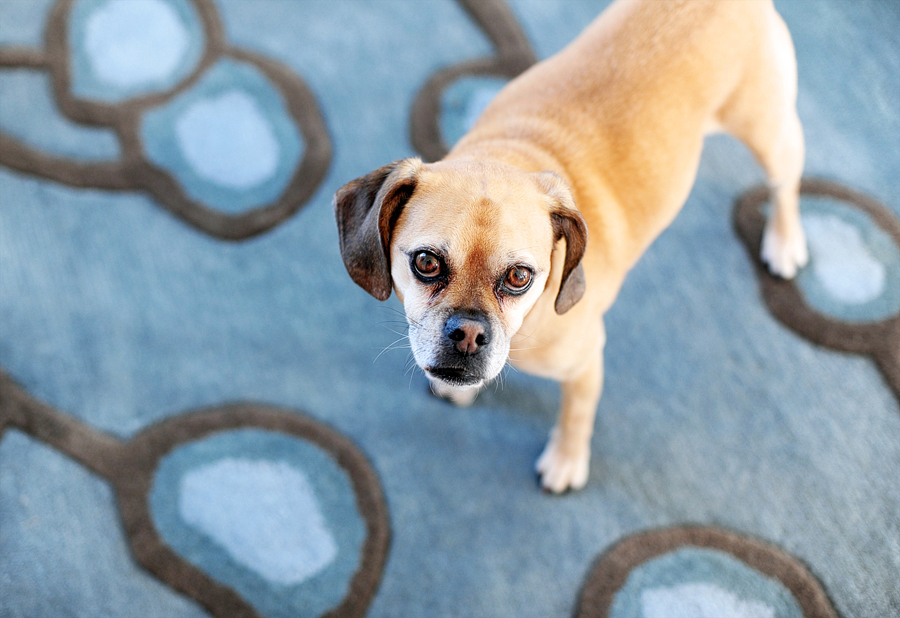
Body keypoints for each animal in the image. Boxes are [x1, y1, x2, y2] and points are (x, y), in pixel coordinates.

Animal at [332, 0, 808, 490]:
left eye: (519, 277)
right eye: (426, 263)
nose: (468, 333)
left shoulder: (585, 363)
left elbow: (576, 415)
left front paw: (566, 460)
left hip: (767, 132)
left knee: (787, 180)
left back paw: (785, 240)